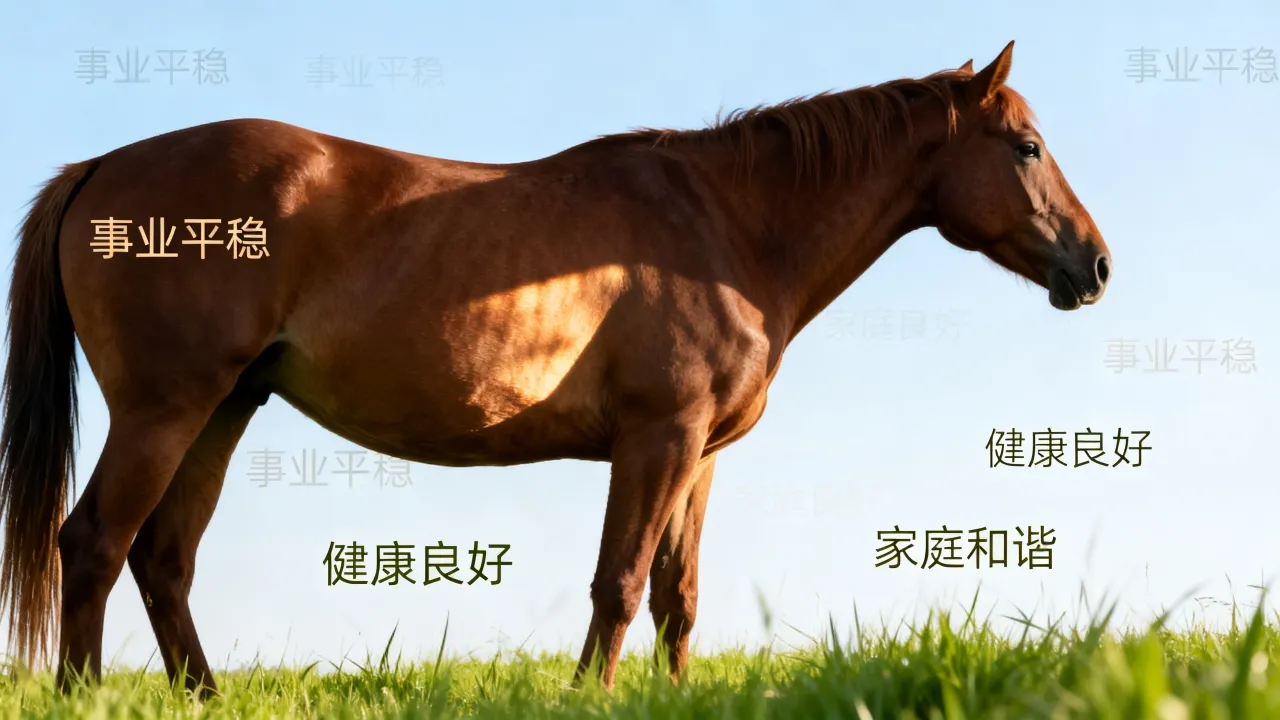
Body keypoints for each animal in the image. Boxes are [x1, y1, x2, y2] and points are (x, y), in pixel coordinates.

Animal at [0, 40, 1110, 695]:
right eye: (1024, 146)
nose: (1093, 266)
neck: (726, 225)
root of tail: (100, 167)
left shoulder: (699, 456)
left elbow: (676, 595)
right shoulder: (656, 438)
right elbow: (617, 584)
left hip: (225, 407)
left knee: (162, 558)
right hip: (166, 408)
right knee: (92, 543)